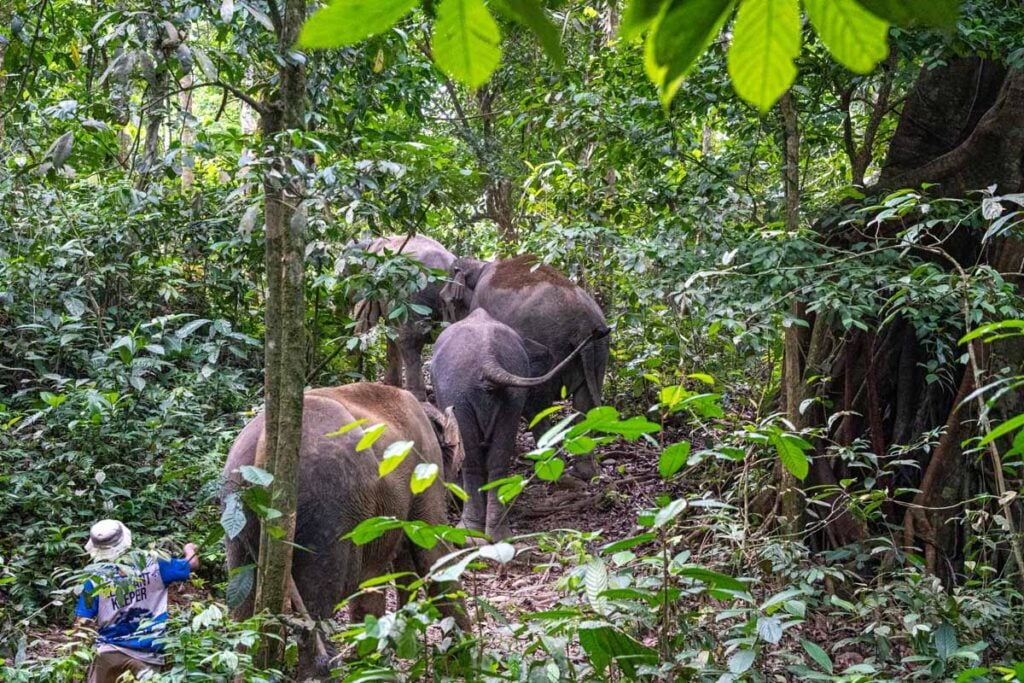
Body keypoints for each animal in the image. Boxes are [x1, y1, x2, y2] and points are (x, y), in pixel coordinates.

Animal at [222, 382, 468, 679]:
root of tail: (266, 446)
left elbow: (376, 577)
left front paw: (371, 662)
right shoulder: (426, 465)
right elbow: (433, 552)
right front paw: (462, 660)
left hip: (237, 510)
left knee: (244, 609)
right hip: (327, 505)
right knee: (317, 604)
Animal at [432, 308, 608, 540]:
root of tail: (488, 360)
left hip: (458, 393)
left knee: (472, 460)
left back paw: (471, 532)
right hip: (508, 396)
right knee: (498, 459)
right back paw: (498, 534)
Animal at [439, 254, 611, 476]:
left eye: (445, 300)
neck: (481, 265)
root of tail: (583, 323)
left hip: (550, 343)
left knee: (536, 406)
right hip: (599, 349)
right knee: (584, 403)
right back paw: (584, 472)